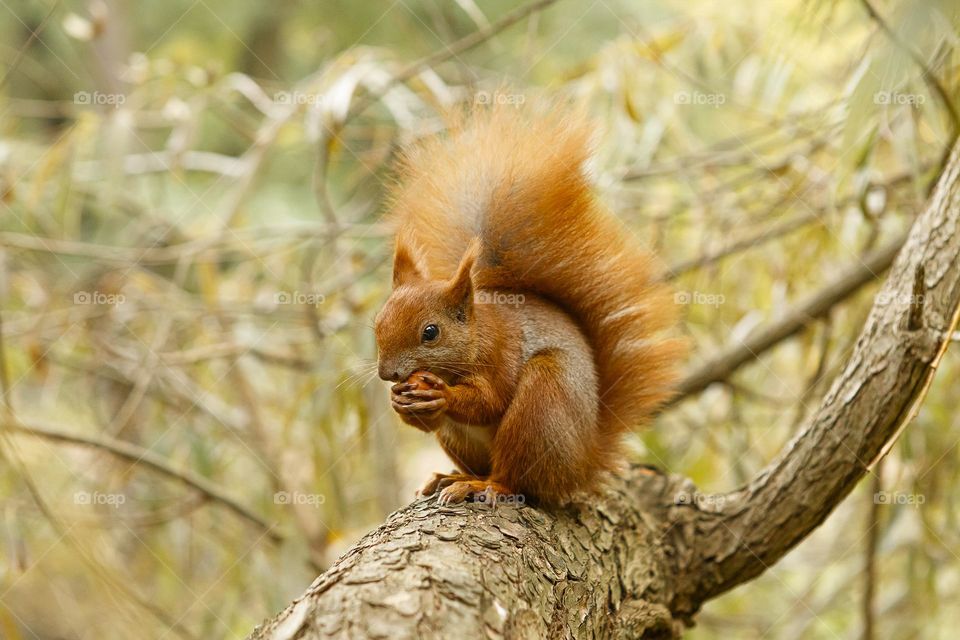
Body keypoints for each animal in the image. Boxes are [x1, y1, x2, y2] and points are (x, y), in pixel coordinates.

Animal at [374, 102, 684, 505]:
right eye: (377, 324)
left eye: (431, 332)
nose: (388, 374)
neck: (476, 335)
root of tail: (583, 464)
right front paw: (401, 402)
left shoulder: (502, 351)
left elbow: (489, 401)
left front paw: (441, 393)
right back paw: (451, 475)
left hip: (541, 405)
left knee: (519, 481)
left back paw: (484, 485)